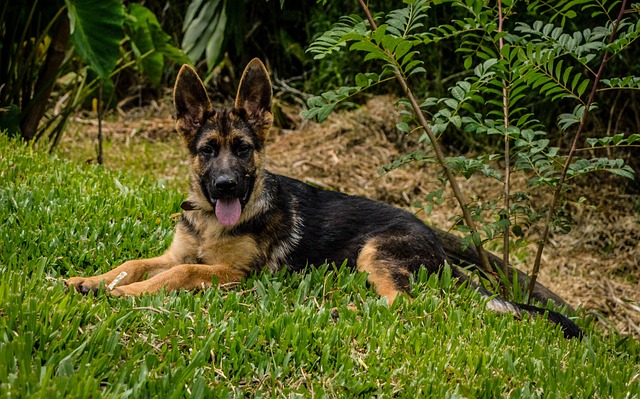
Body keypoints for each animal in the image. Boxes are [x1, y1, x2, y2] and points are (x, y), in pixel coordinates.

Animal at [66, 59, 584, 340]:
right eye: (208, 151)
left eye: (244, 149)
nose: (226, 186)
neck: (215, 221)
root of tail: (437, 243)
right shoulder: (176, 250)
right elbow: (135, 263)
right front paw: (90, 281)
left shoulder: (236, 274)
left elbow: (180, 273)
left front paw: (126, 295)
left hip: (376, 253)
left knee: (406, 305)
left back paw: (341, 309)